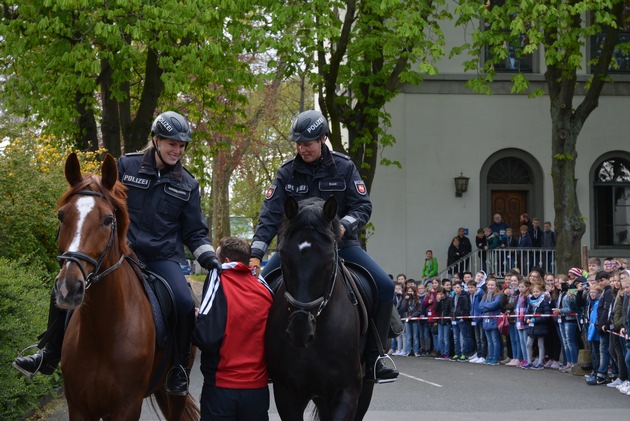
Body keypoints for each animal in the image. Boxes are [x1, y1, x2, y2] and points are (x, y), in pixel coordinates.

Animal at [54, 153, 199, 418]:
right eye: (62, 216)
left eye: (108, 219)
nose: (68, 288)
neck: (101, 332)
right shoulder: (79, 407)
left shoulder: (126, 407)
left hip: (175, 394)